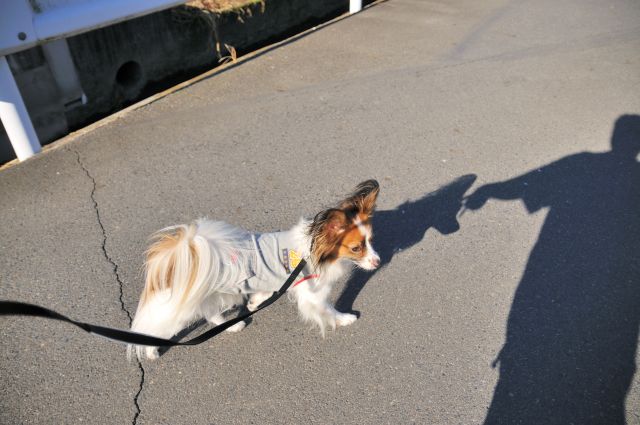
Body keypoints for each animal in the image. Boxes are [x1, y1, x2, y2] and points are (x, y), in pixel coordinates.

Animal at [128, 180, 380, 360]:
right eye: (356, 248)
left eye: (371, 241)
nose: (378, 262)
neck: (312, 249)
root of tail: (180, 259)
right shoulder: (313, 295)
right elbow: (329, 310)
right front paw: (345, 319)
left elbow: (264, 294)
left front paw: (254, 303)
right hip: (178, 309)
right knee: (155, 327)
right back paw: (151, 351)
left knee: (210, 313)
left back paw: (234, 326)